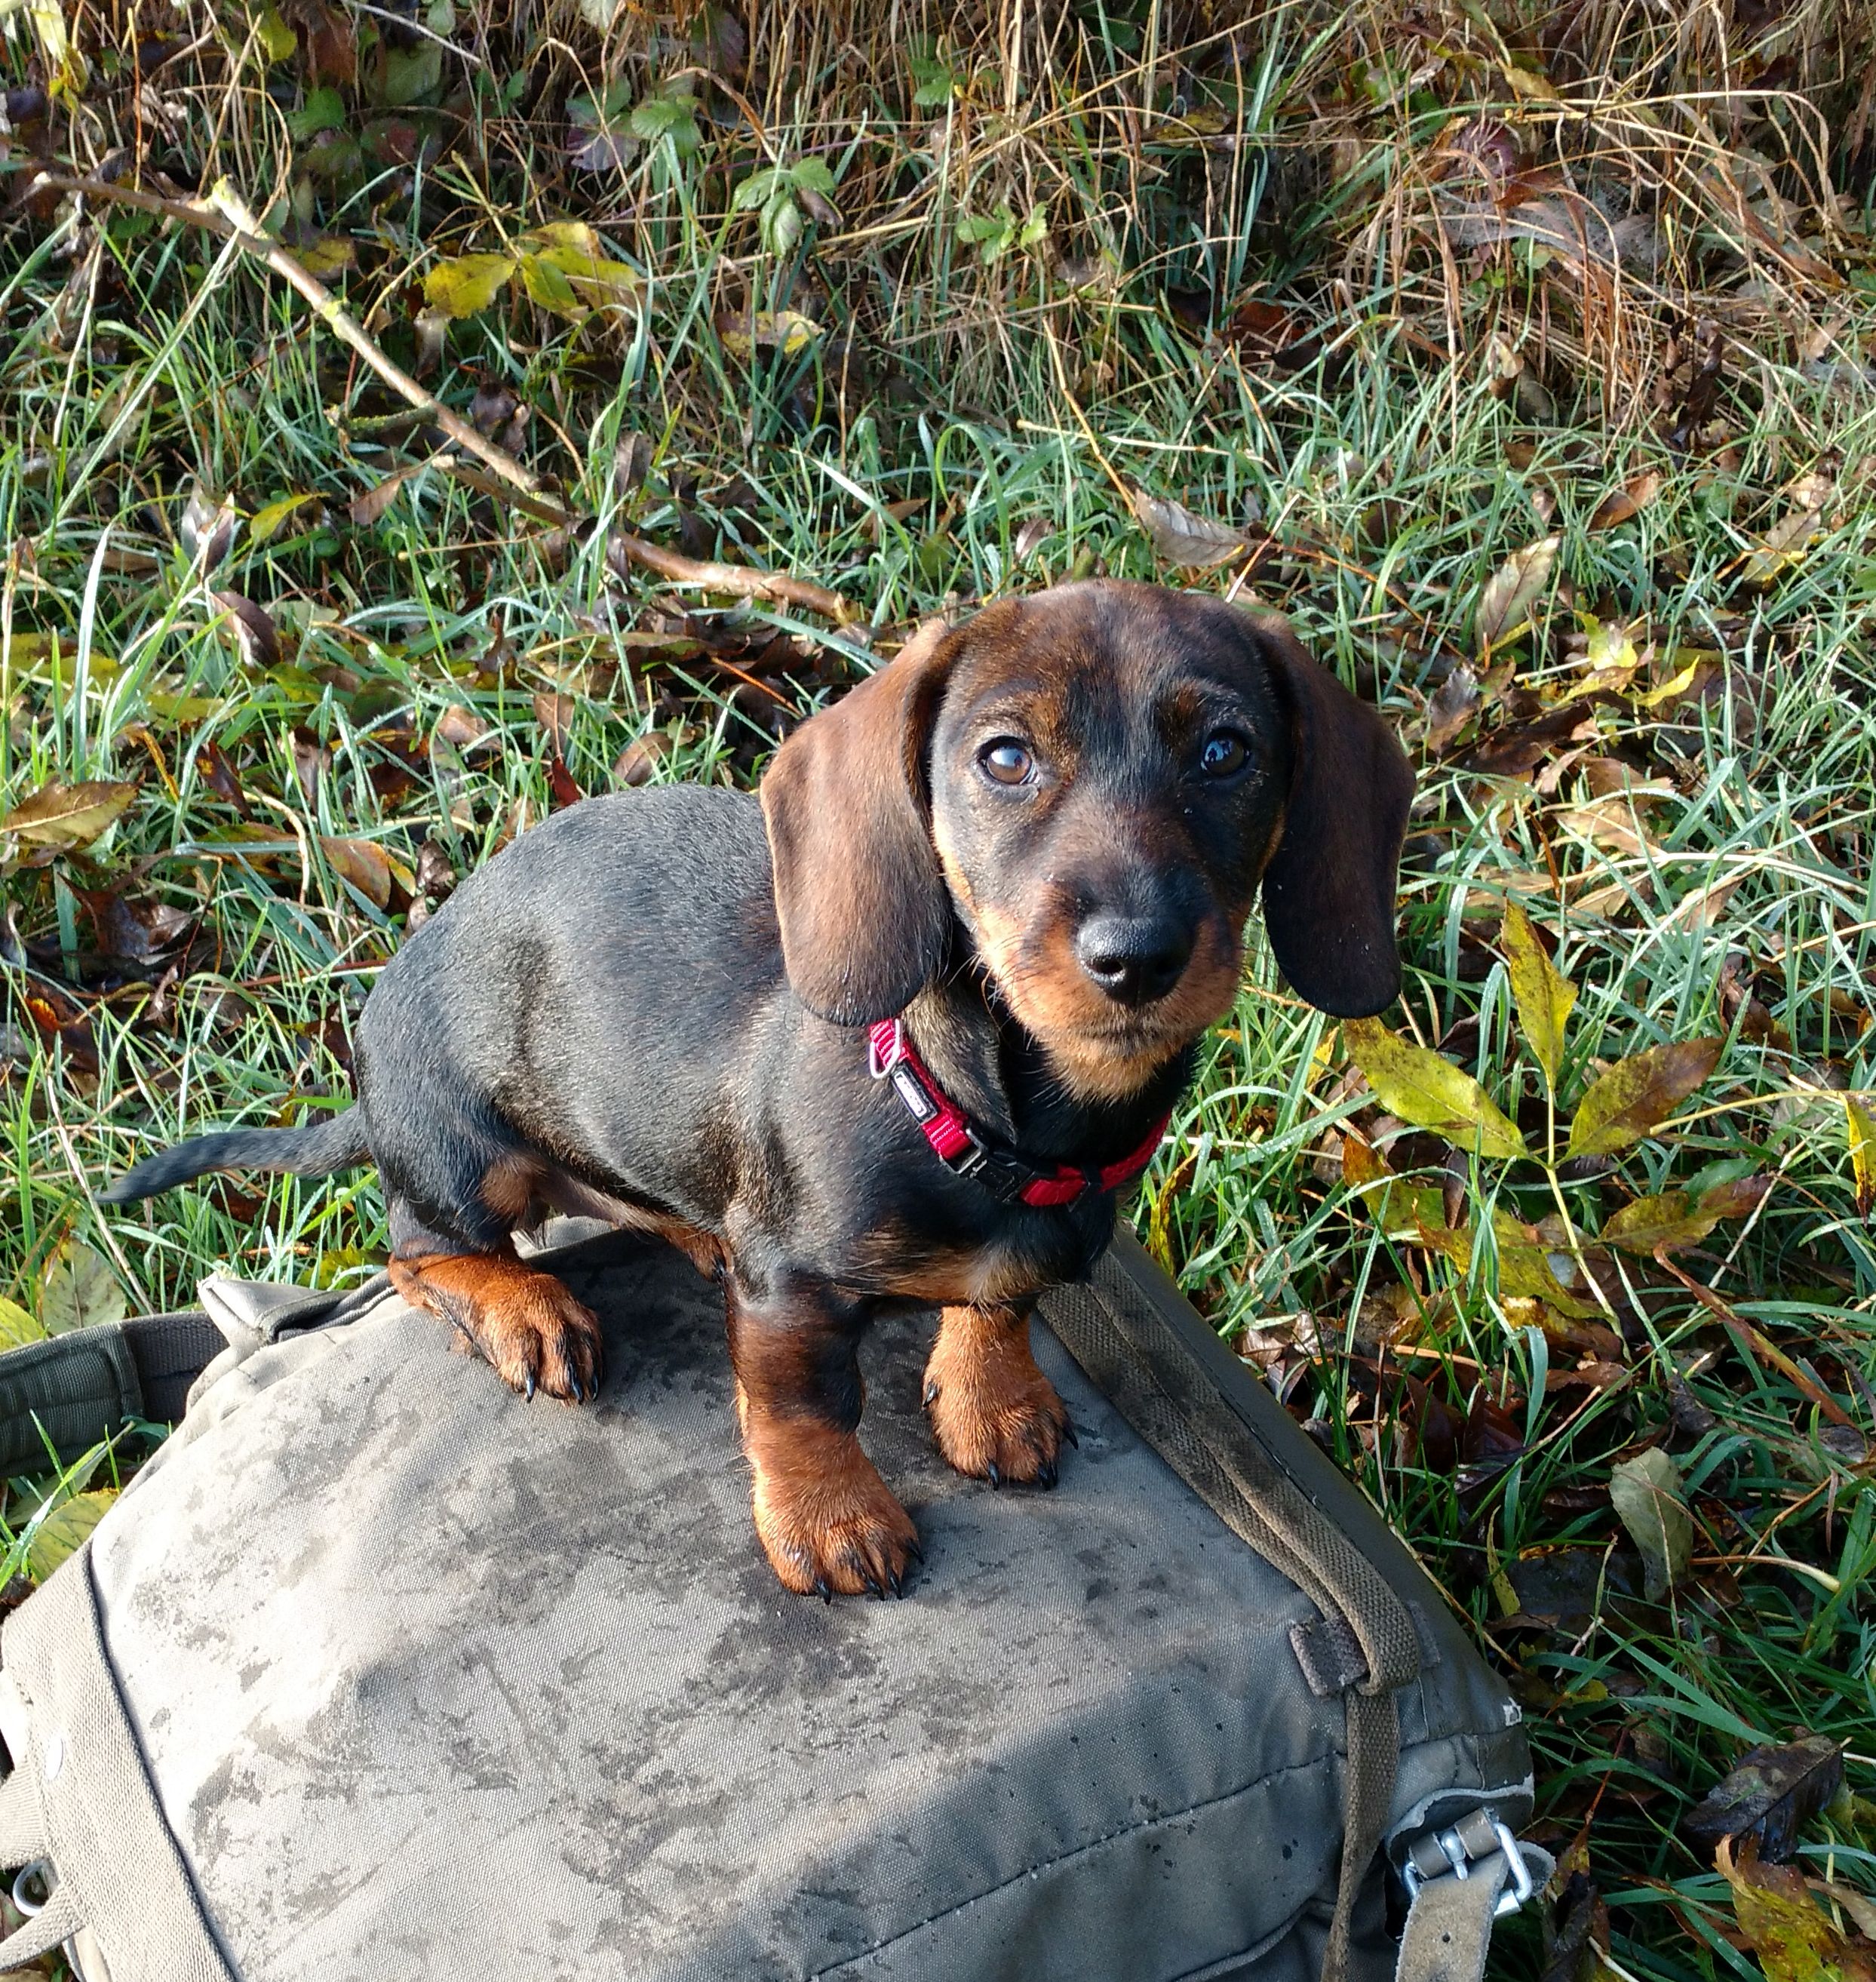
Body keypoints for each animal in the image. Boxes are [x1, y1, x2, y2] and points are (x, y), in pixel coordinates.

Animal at [102, 579, 1418, 1601]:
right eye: (1003, 756)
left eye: (1225, 751)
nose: (1132, 955)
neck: (985, 1117)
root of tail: (371, 1070)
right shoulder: (788, 1287)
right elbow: (800, 1411)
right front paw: (833, 1521)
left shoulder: (1031, 1245)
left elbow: (999, 1304)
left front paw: (990, 1397)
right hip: (468, 1153)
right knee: (417, 1249)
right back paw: (525, 1307)